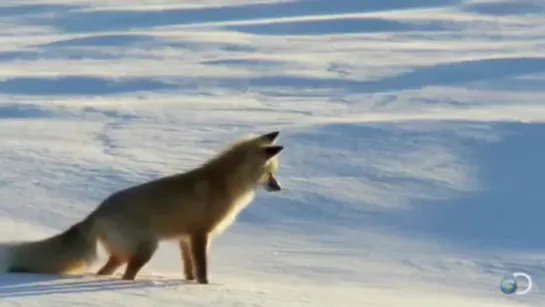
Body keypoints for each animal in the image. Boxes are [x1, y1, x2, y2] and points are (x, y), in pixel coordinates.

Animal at [6, 131, 284, 286]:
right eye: (270, 173)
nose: (279, 188)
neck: (224, 184)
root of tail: (97, 212)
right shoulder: (199, 234)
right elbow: (202, 268)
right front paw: (205, 288)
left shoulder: (184, 238)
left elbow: (189, 270)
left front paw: (190, 285)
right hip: (146, 249)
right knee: (126, 275)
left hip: (124, 253)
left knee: (105, 271)